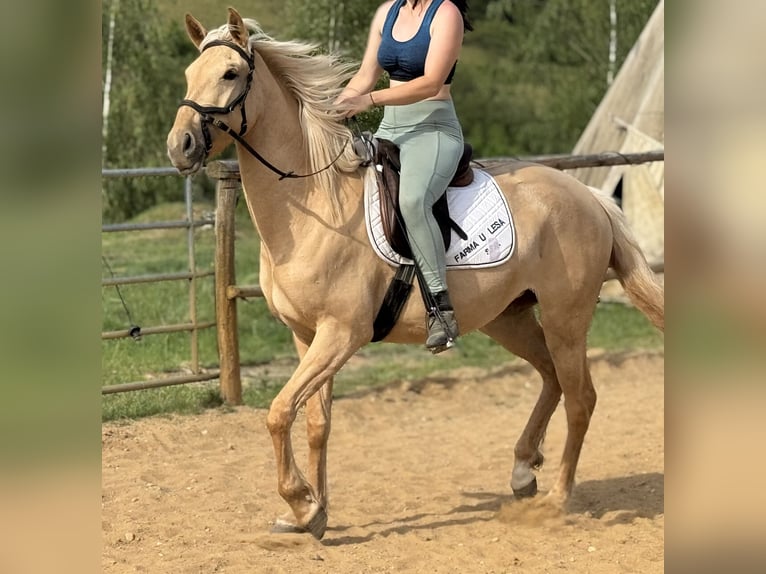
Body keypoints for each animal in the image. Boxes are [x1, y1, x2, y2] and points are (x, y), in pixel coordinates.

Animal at [167, 8, 664, 540]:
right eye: (189, 74)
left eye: (230, 74)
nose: (180, 146)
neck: (315, 205)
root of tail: (587, 195)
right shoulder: (306, 336)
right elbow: (316, 422)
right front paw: (314, 513)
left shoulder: (341, 334)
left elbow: (279, 413)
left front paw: (299, 500)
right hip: (508, 318)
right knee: (551, 377)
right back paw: (522, 470)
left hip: (565, 317)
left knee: (580, 397)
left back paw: (555, 500)